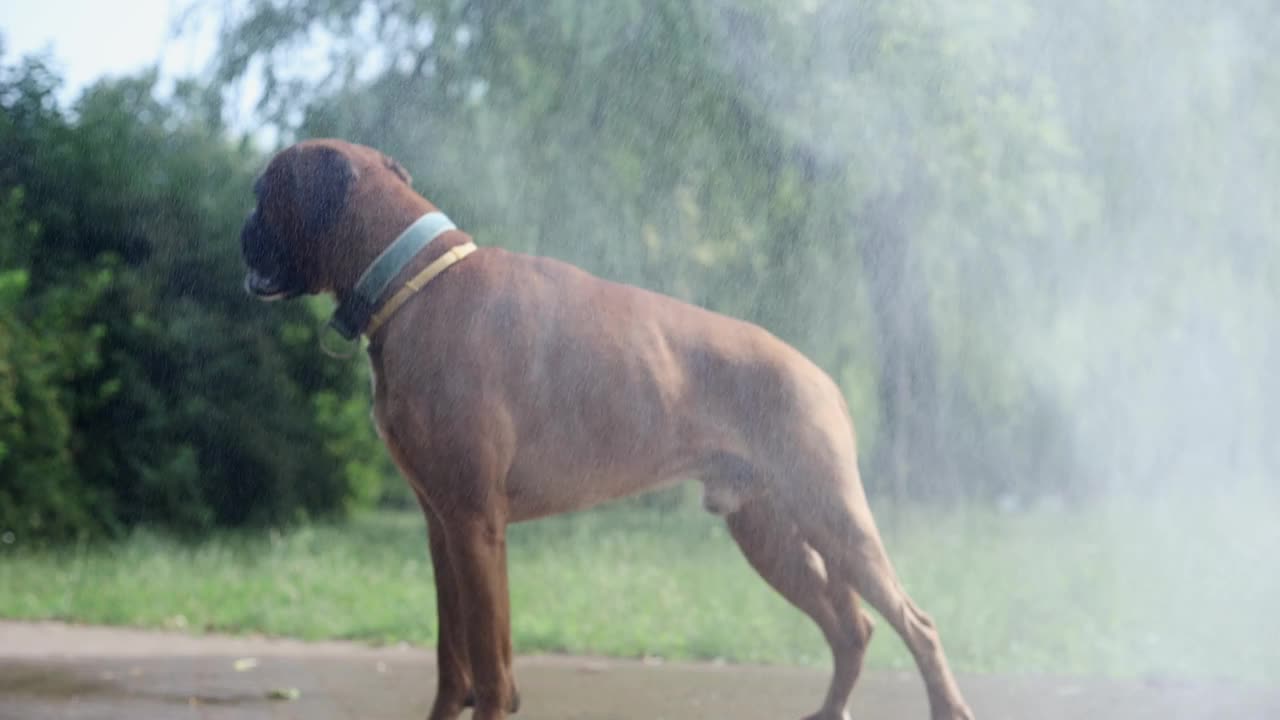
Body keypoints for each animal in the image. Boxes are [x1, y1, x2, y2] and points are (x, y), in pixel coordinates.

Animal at [240, 135, 972, 717]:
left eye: (261, 192)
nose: (240, 230)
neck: (413, 283)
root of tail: (818, 374)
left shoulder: (476, 526)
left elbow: (489, 660)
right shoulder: (442, 528)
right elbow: (455, 659)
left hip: (832, 519)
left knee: (916, 624)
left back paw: (946, 706)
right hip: (768, 535)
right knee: (852, 629)